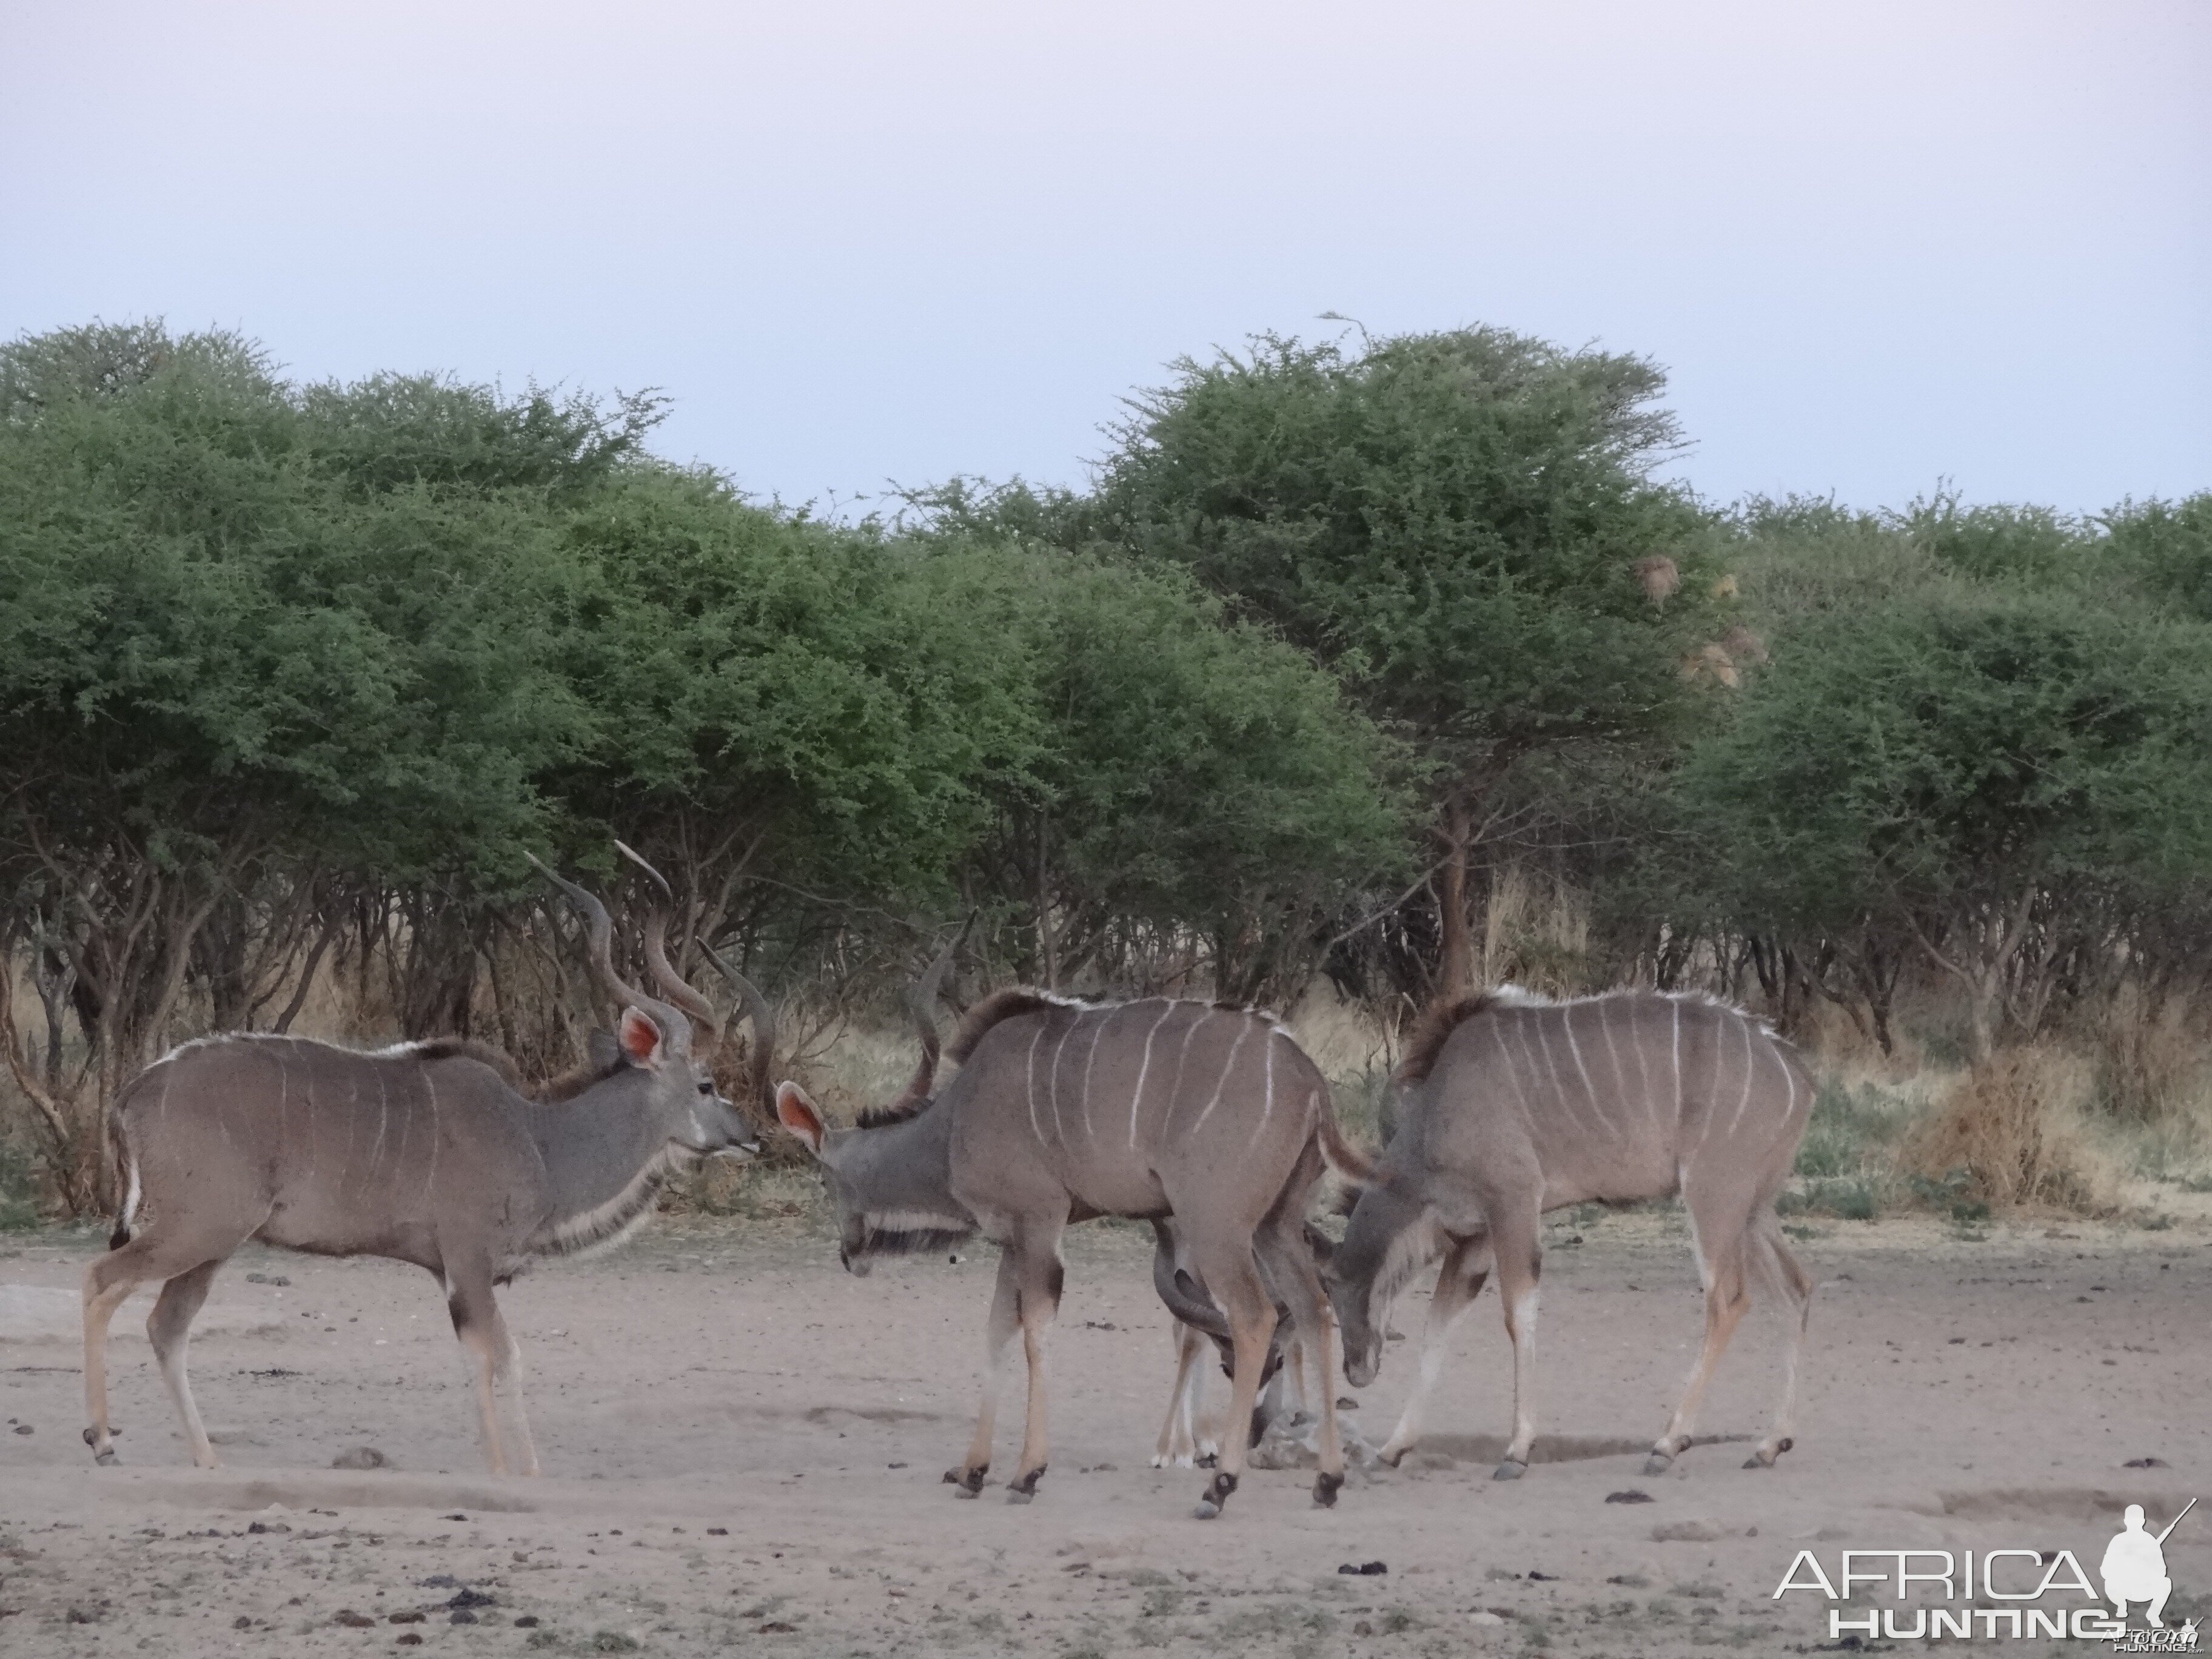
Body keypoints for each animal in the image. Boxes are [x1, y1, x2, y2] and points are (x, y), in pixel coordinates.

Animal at [80, 858, 769, 1477]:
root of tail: (134, 1091)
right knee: (102, 1278)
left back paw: (206, 1459)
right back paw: (103, 1440)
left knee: (166, 1325)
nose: (752, 1138)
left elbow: (478, 1358)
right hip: (200, 1227)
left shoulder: (453, 1274)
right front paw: (519, 1470)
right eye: (706, 1084)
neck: (538, 1138)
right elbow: (504, 1357)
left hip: (214, 1244)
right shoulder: (469, 1261)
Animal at [774, 968, 1362, 1530]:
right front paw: (972, 1472)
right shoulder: (1012, 1238)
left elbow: (1035, 1330)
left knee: (1255, 1317)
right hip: (1277, 1224)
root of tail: (1311, 1082)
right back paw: (1328, 1481)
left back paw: (1218, 1487)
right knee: (1313, 1309)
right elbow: (997, 1331)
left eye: (826, 1181)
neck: (954, 1124)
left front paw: (1026, 1475)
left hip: (1216, 1225)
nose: (850, 1254)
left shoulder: (1039, 1223)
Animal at [1327, 995, 1814, 1486]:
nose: (1355, 1369)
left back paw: (1666, 1446)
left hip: (1714, 1194)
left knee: (1728, 1300)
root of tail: (1797, 1074)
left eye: (1334, 1289)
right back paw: (1771, 1445)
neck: (1436, 1114)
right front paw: (1391, 1450)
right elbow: (1439, 1326)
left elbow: (1517, 1316)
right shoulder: (1476, 1239)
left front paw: (1517, 1451)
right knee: (1795, 1288)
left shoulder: (1514, 1203)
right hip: (1753, 1211)